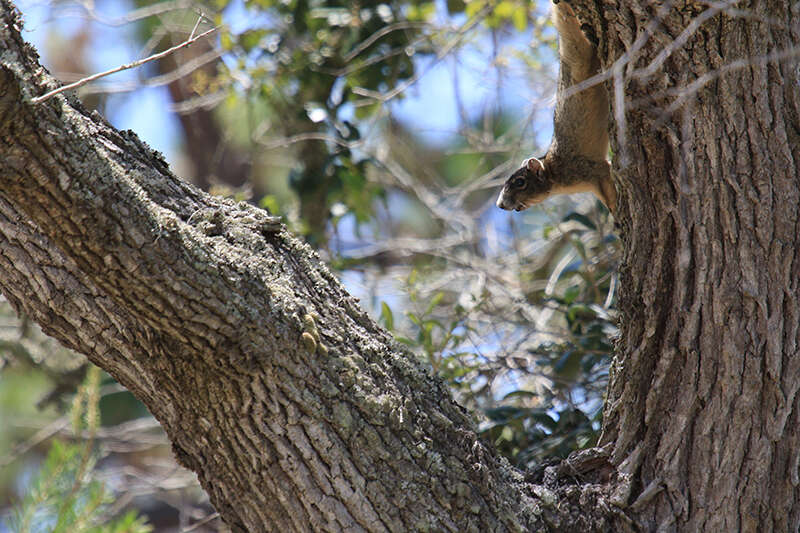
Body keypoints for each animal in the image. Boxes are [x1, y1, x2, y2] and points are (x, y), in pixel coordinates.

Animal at [496, 2, 616, 214]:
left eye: (520, 182)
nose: (500, 204)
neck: (554, 172)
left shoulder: (589, 169)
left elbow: (607, 178)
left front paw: (615, 206)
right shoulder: (592, 181)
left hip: (582, 56)